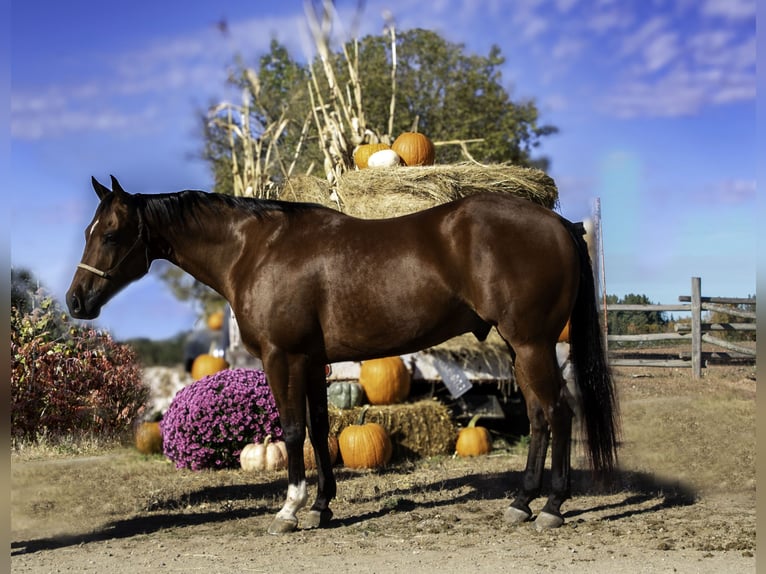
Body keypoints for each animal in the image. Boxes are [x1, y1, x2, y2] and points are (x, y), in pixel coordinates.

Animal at [64, 176, 616, 536]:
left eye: (110, 233)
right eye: (88, 232)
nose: (76, 301)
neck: (256, 251)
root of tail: (559, 223)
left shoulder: (282, 358)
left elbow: (291, 430)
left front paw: (289, 511)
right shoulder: (312, 361)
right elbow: (316, 429)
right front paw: (321, 507)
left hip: (531, 344)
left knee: (558, 412)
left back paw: (550, 506)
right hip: (525, 349)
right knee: (542, 417)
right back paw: (523, 502)